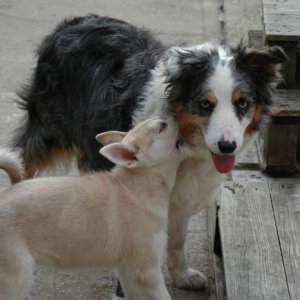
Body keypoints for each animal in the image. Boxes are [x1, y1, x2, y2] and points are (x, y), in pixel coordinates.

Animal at [0, 119, 185, 300]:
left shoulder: (128, 272)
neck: (139, 184)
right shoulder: (147, 272)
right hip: (16, 278)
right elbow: (163, 296)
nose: (177, 117)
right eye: (162, 127)